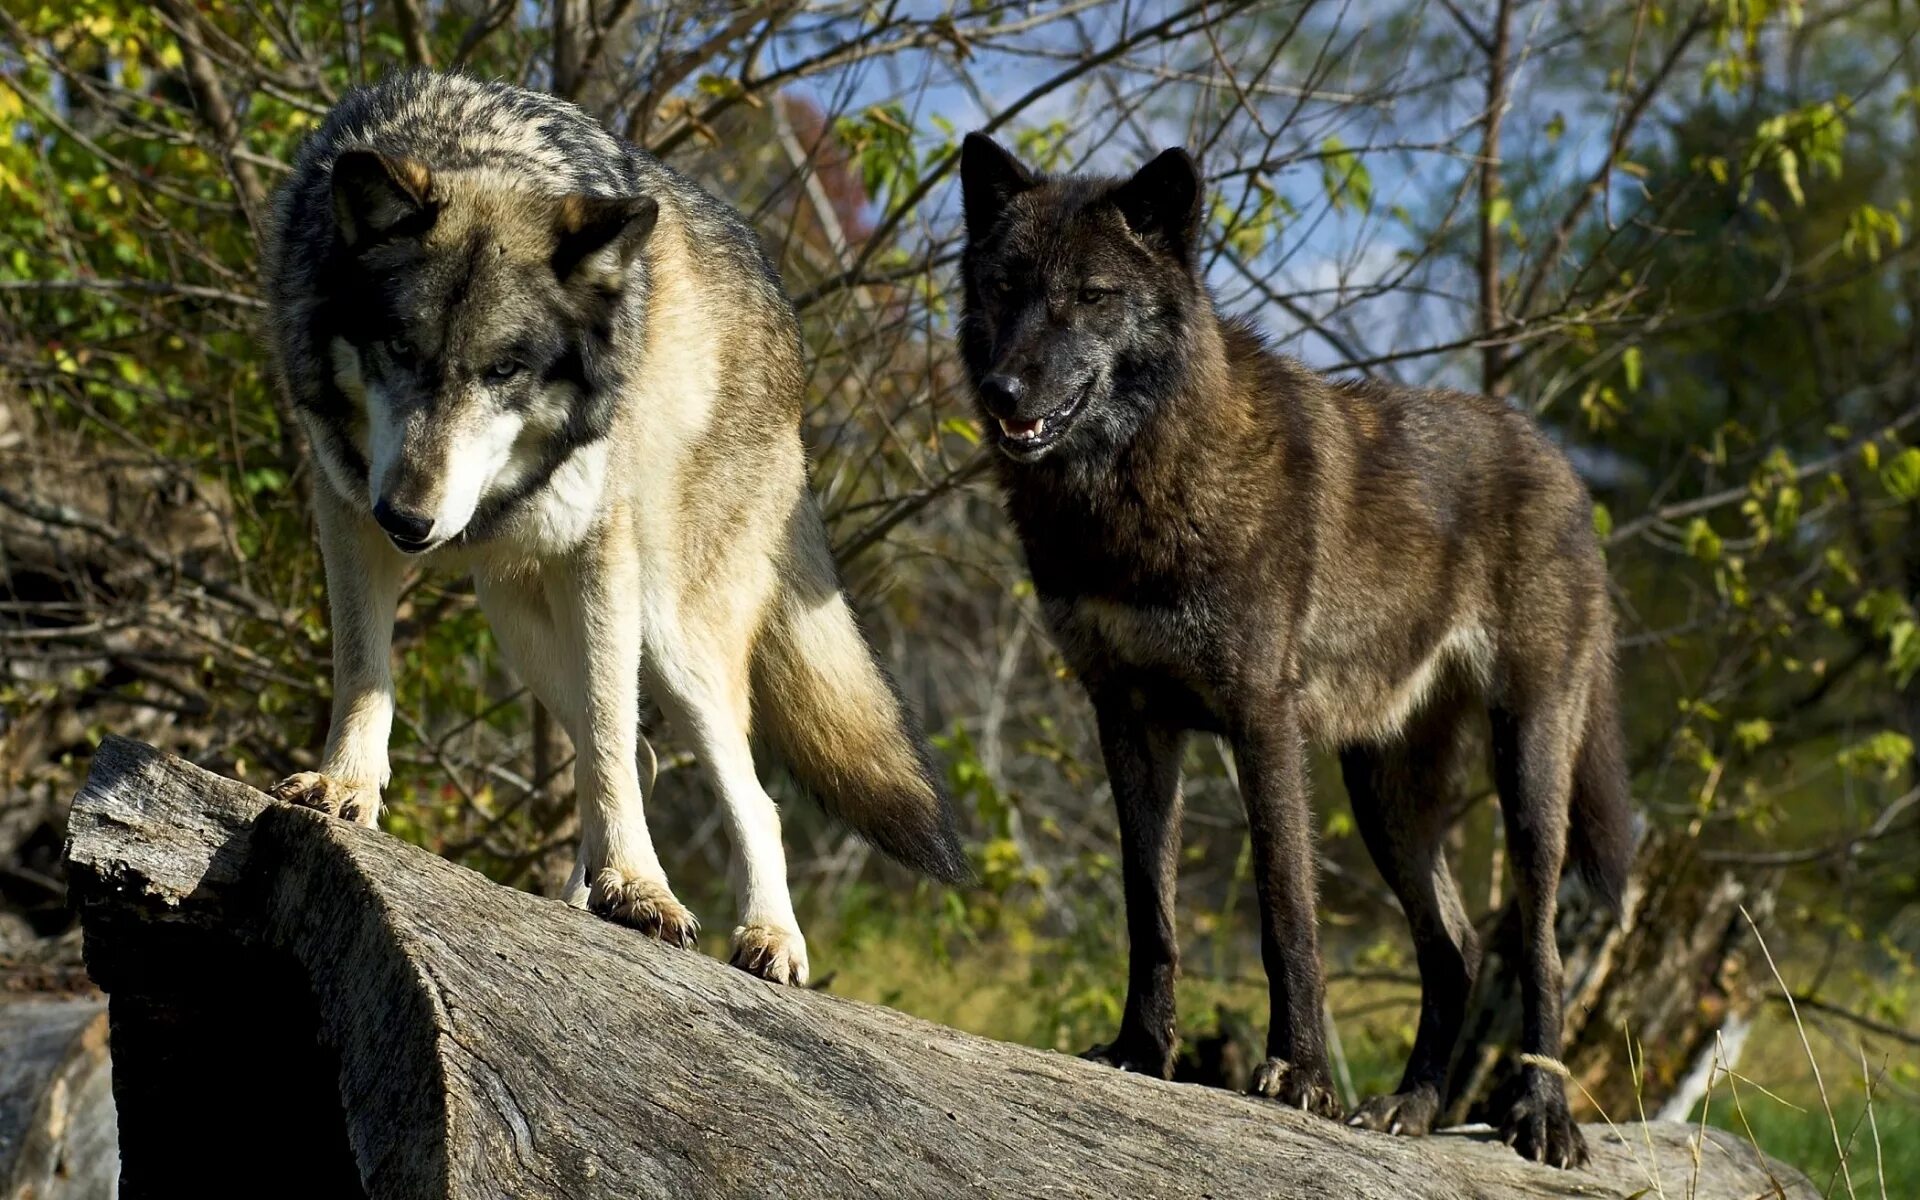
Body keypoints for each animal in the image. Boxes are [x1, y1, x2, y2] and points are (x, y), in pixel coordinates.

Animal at [952, 135, 1628, 1167]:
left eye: (1093, 295)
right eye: (1003, 285)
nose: (1004, 392)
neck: (1130, 492)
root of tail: (1559, 464)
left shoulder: (1260, 719)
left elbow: (1286, 914)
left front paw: (1299, 1075)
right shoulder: (1129, 719)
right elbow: (1149, 910)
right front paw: (1142, 1050)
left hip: (1529, 770)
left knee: (1538, 946)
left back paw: (1542, 1114)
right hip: (1386, 796)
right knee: (1458, 947)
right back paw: (1411, 1107)